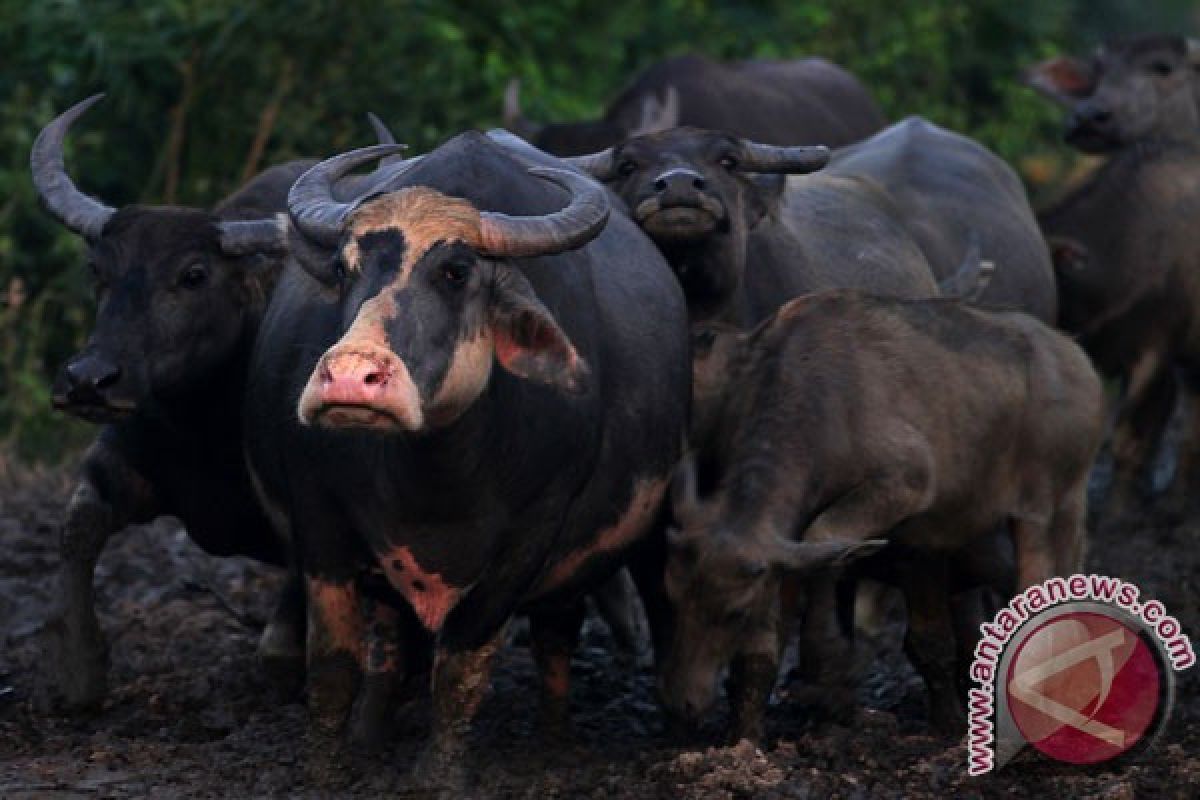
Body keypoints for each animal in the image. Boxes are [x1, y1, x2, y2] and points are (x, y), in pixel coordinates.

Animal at [667, 292, 1104, 743]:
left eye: (734, 613)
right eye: (672, 597)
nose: (683, 703)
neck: (821, 400)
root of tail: (1076, 359)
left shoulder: (907, 490)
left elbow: (825, 541)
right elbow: (763, 647)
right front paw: (745, 736)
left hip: (1049, 512)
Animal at [1027, 34, 1200, 515]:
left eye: (1163, 67)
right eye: (1098, 73)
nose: (1088, 116)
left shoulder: (1158, 349)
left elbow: (1125, 441)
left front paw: (1122, 510)